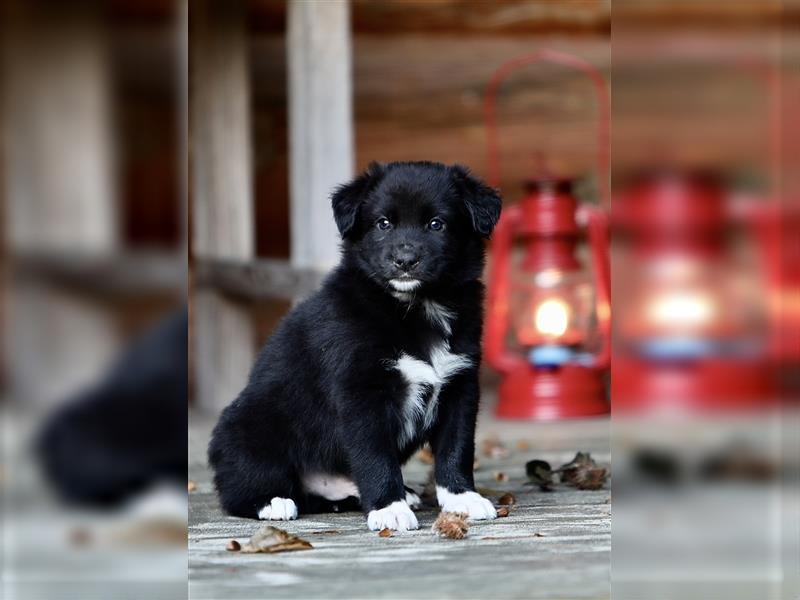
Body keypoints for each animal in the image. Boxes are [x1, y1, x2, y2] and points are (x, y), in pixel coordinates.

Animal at [209, 161, 504, 528]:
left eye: (437, 224)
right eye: (383, 223)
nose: (405, 260)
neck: (417, 306)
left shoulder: (459, 386)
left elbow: (457, 447)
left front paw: (462, 498)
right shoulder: (361, 392)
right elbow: (374, 455)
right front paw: (389, 508)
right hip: (249, 426)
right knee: (239, 487)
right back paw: (272, 501)